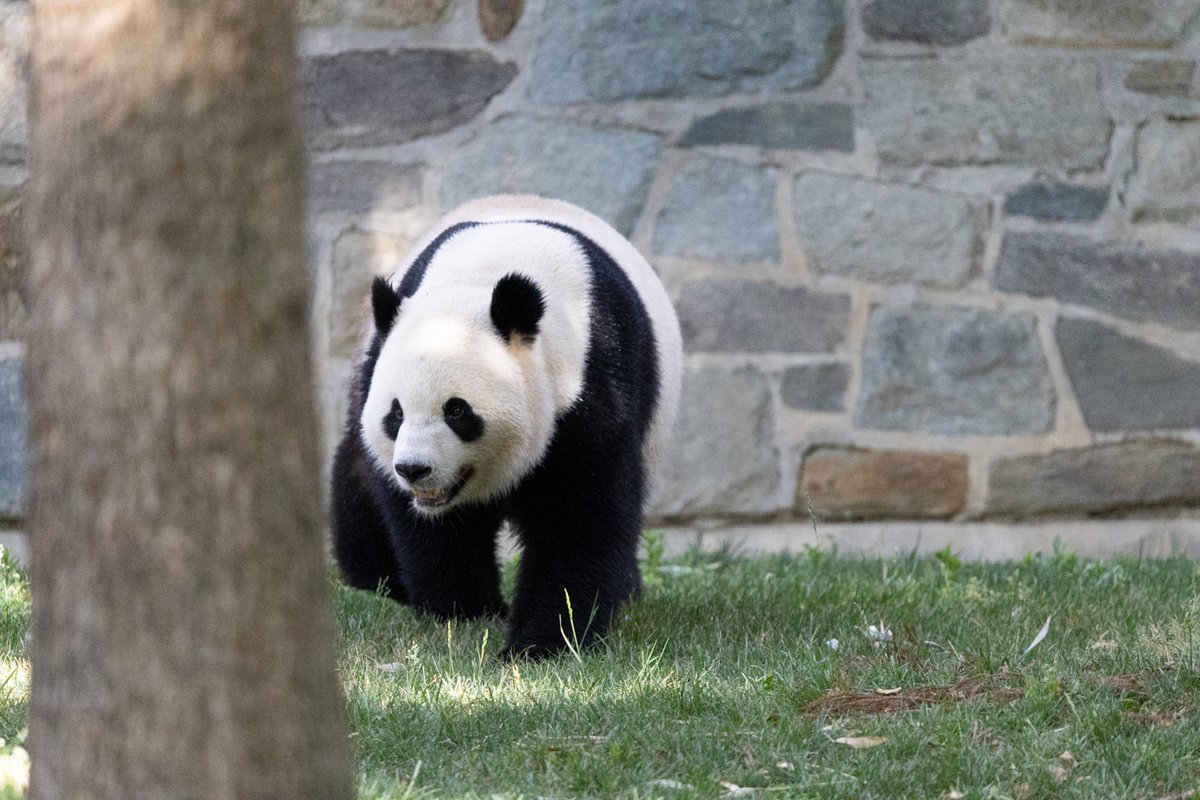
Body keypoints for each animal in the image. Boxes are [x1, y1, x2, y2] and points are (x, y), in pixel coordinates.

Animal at [331, 195, 682, 659]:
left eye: (457, 412)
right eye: (396, 413)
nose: (414, 469)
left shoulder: (594, 381)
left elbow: (579, 516)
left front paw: (541, 644)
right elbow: (436, 530)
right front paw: (466, 611)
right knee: (356, 472)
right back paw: (374, 581)